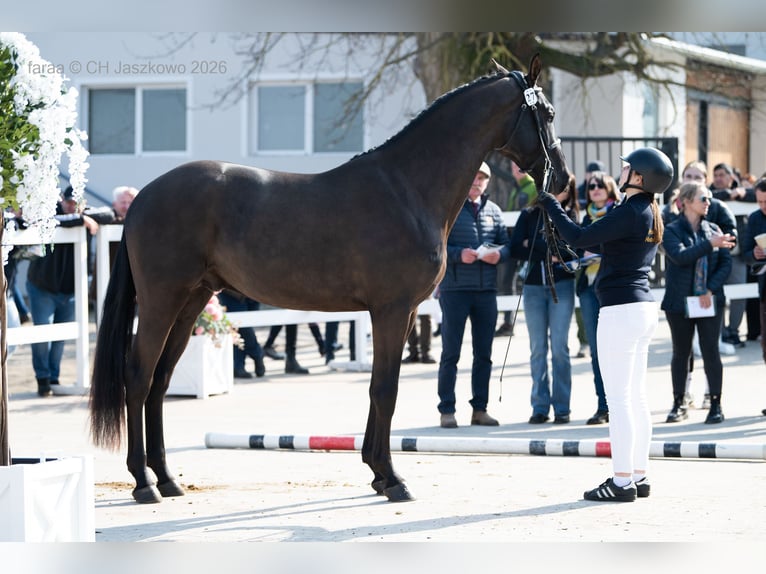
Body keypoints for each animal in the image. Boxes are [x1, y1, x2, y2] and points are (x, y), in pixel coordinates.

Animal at [89, 54, 571, 504]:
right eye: (546, 113)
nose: (564, 179)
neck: (408, 189)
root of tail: (143, 198)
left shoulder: (402, 312)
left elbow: (380, 389)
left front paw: (377, 474)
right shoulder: (392, 310)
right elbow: (385, 389)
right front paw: (393, 479)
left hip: (192, 300)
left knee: (161, 380)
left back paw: (168, 479)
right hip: (161, 301)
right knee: (139, 376)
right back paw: (143, 482)